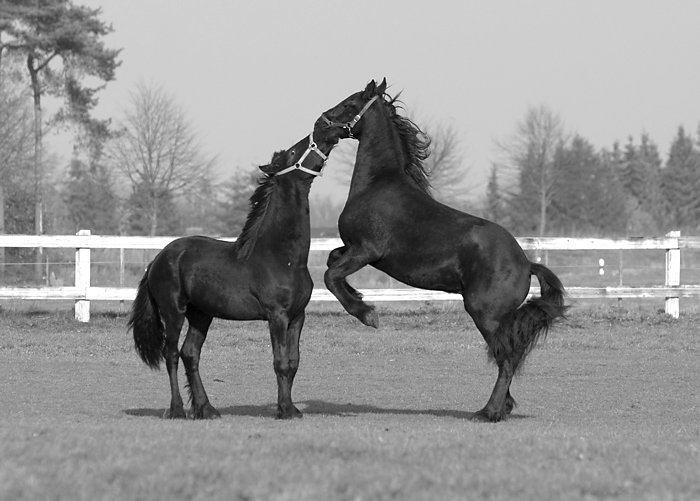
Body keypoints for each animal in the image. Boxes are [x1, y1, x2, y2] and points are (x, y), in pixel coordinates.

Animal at [129, 124, 344, 418]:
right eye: (292, 151)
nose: (328, 129)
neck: (281, 256)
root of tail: (157, 259)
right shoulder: (277, 316)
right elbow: (280, 363)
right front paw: (286, 410)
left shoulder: (297, 317)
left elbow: (293, 363)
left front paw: (289, 408)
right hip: (174, 311)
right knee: (171, 354)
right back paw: (177, 410)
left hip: (201, 315)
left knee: (190, 354)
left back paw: (206, 409)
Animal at [318, 79, 568, 422]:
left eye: (349, 104)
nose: (321, 123)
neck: (377, 185)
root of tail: (527, 263)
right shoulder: (353, 249)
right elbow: (332, 261)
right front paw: (359, 296)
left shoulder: (367, 251)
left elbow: (330, 276)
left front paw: (367, 314)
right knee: (508, 357)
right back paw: (501, 407)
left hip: (485, 315)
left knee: (506, 359)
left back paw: (489, 411)